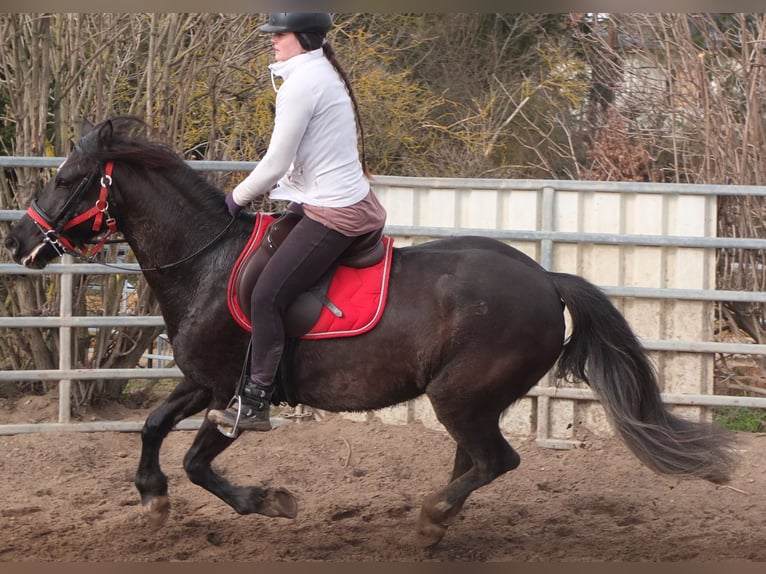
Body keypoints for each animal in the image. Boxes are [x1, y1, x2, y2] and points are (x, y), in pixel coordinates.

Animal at [4, 116, 736, 548]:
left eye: (67, 179)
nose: (18, 242)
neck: (207, 262)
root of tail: (546, 279)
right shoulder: (199, 381)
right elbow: (155, 427)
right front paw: (153, 501)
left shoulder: (233, 390)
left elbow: (196, 460)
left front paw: (269, 500)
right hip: (469, 399)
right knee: (473, 460)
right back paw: (438, 523)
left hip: (461, 394)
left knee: (494, 460)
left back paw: (433, 518)